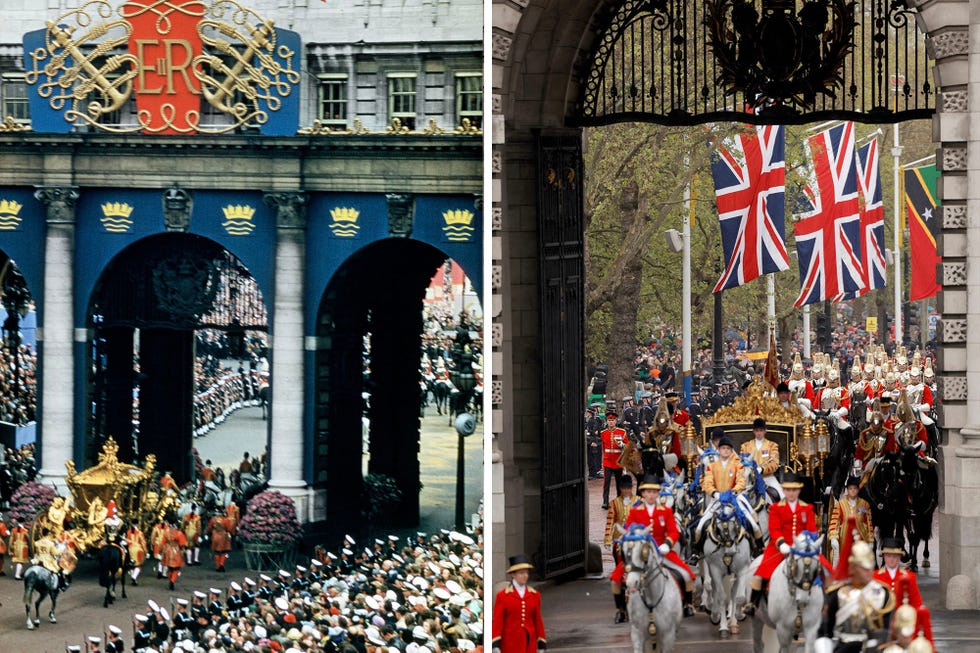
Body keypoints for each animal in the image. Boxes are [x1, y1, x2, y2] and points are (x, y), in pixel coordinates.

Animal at [620, 524, 680, 652]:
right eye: (622, 552)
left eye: (643, 551)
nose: (631, 583)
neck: (652, 597)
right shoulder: (637, 634)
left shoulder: (668, 635)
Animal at [700, 494, 756, 636]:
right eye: (718, 528)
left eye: (735, 524)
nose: (731, 551)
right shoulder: (715, 570)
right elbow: (721, 597)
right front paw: (723, 626)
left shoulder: (742, 569)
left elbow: (739, 597)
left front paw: (736, 619)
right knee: (714, 588)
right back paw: (714, 614)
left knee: (733, 592)